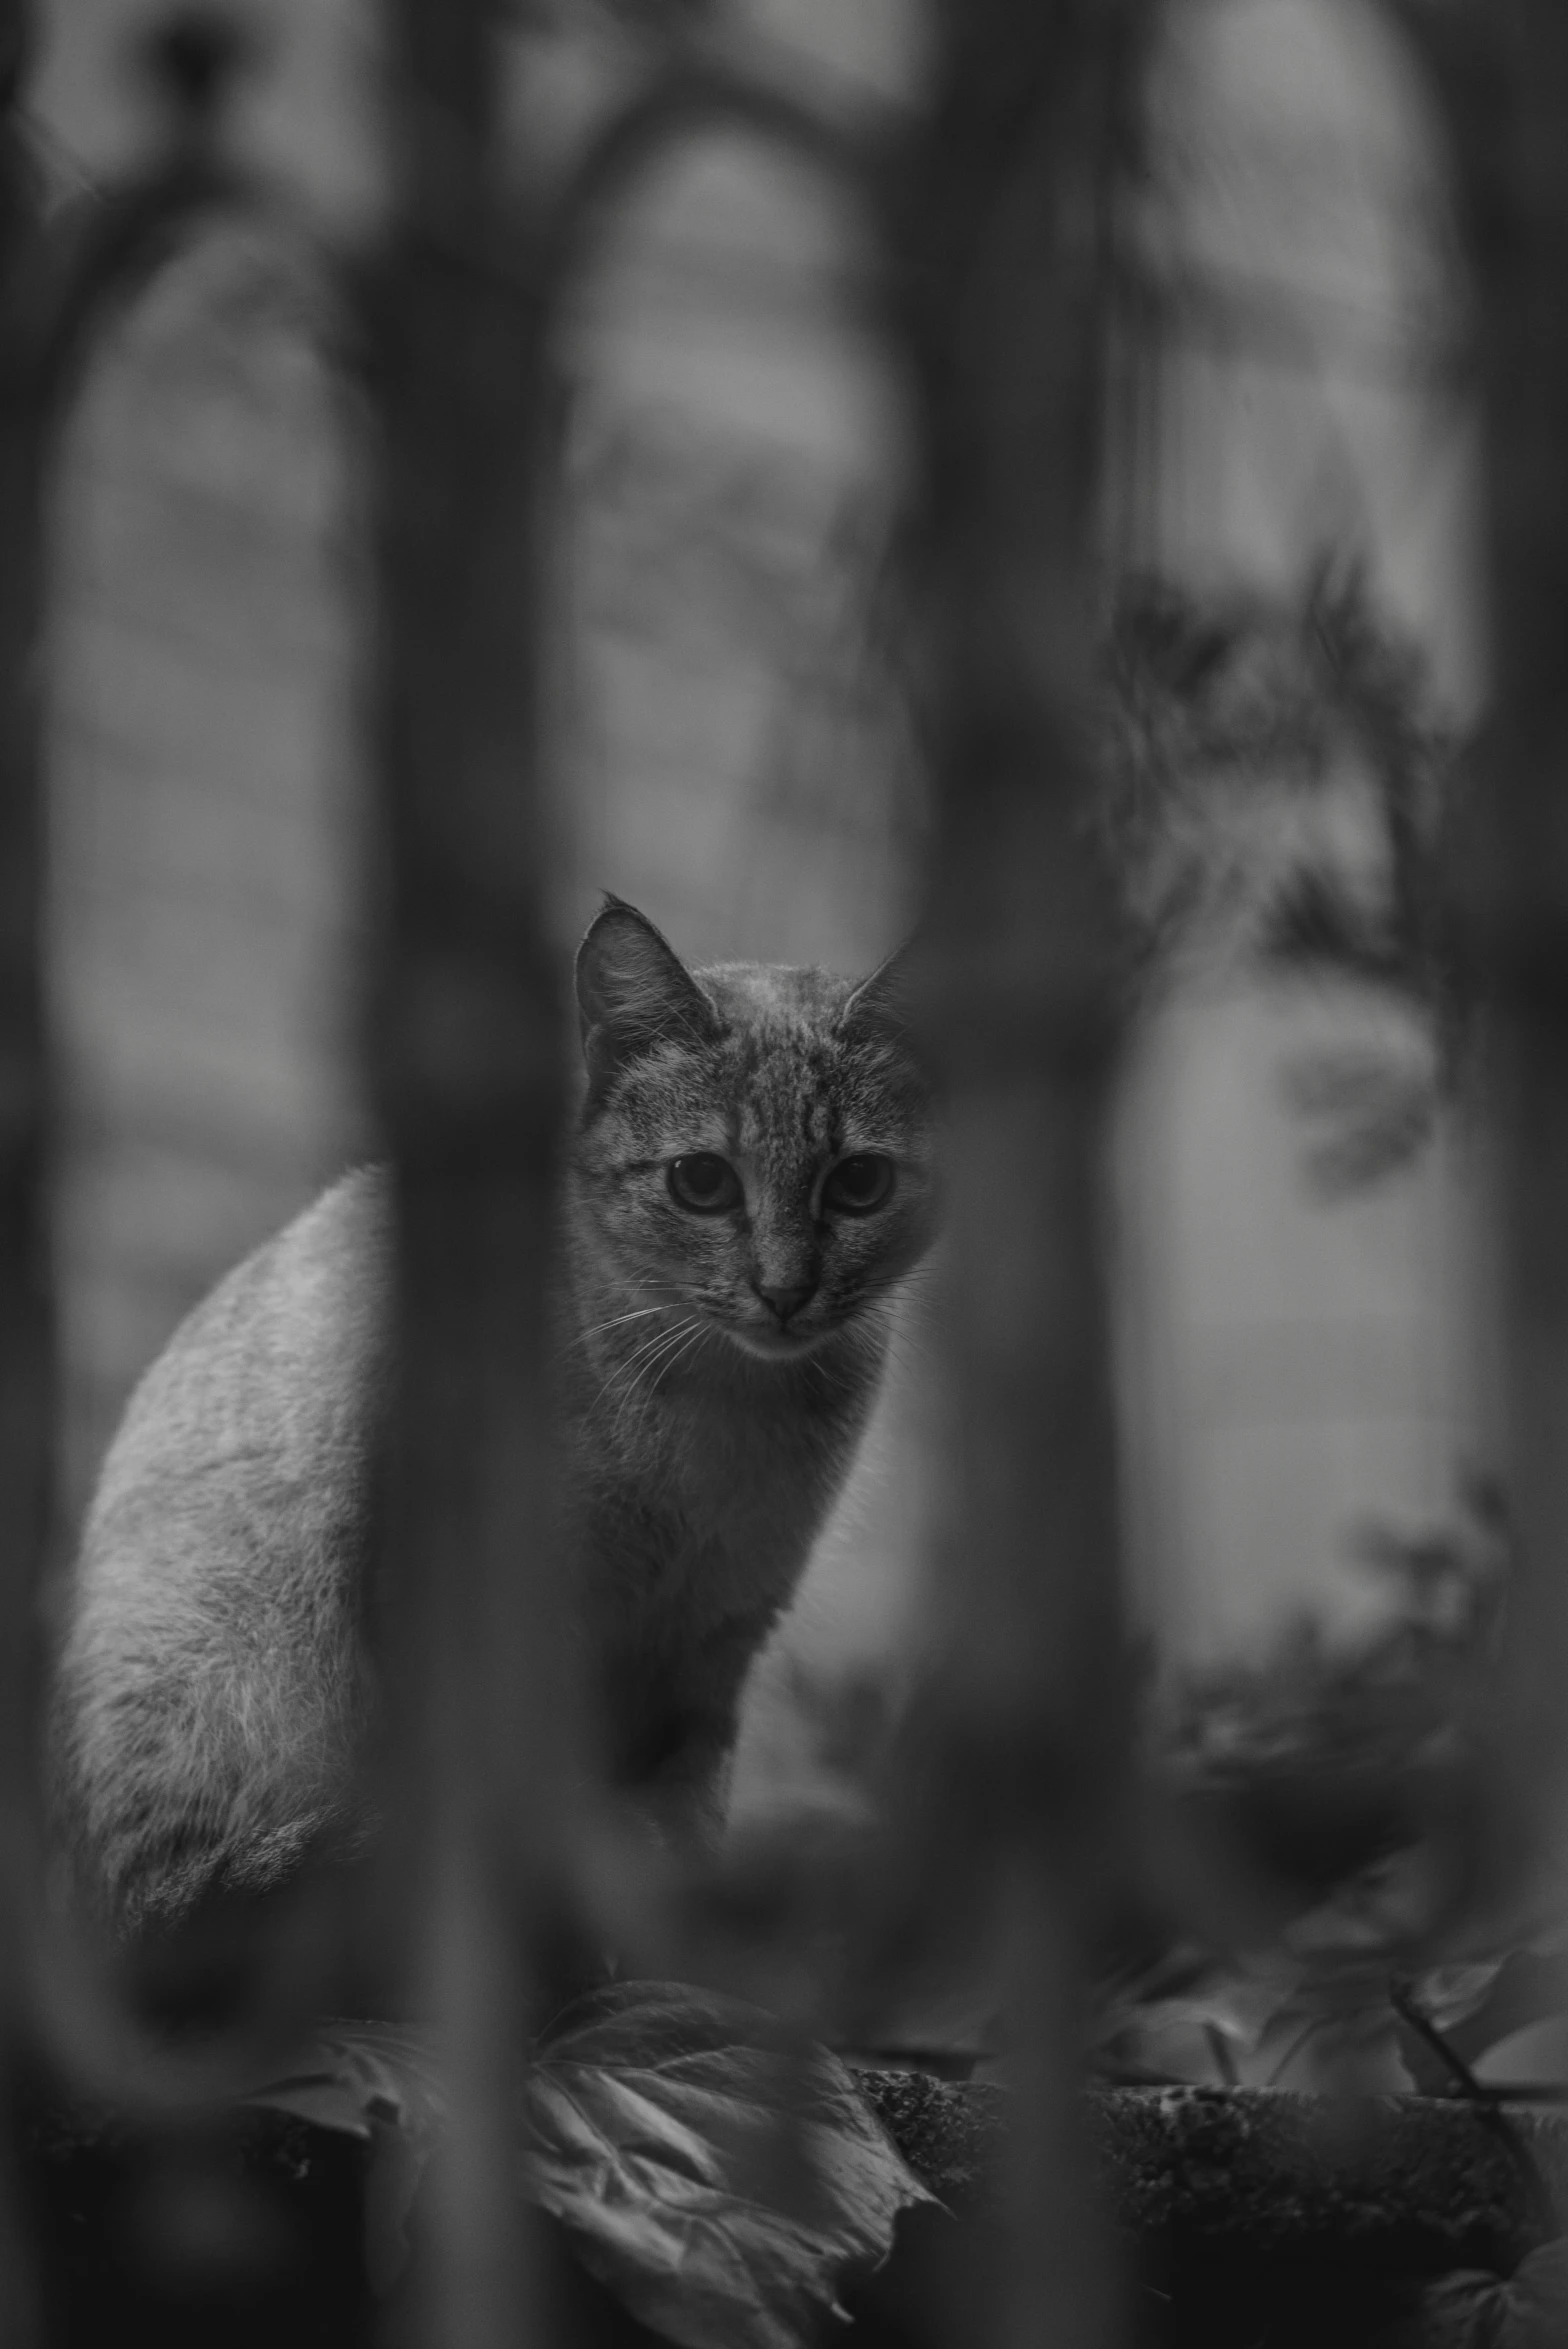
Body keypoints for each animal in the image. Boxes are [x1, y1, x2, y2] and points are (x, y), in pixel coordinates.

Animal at [46, 892, 929, 1926]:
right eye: (703, 1181)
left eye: (859, 1183)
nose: (785, 1292)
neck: (724, 1415)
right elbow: (538, 1799)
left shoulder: (714, 1645)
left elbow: (686, 1815)